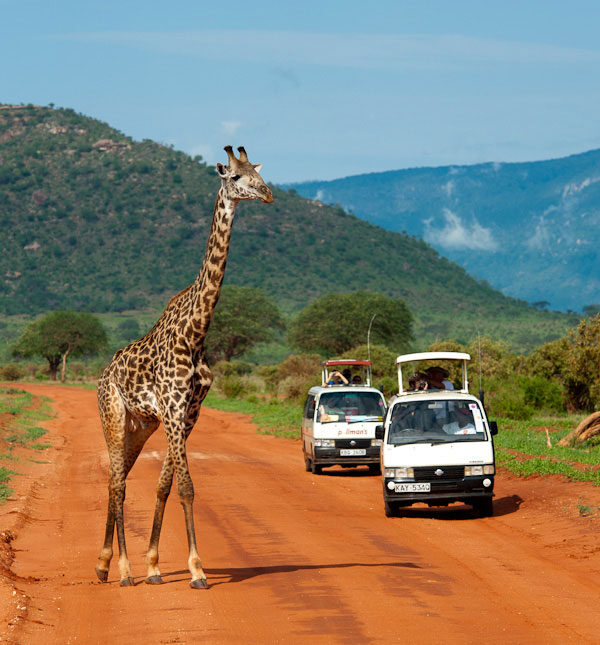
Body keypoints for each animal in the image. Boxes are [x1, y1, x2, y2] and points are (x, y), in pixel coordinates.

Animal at [95, 146, 274, 588]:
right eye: (235, 177)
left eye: (258, 173)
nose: (267, 194)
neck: (197, 331)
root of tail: (103, 374)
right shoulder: (174, 408)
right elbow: (187, 486)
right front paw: (196, 570)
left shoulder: (190, 411)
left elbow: (165, 484)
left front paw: (156, 565)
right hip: (112, 415)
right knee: (118, 484)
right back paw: (122, 571)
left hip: (140, 425)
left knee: (116, 479)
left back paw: (104, 564)